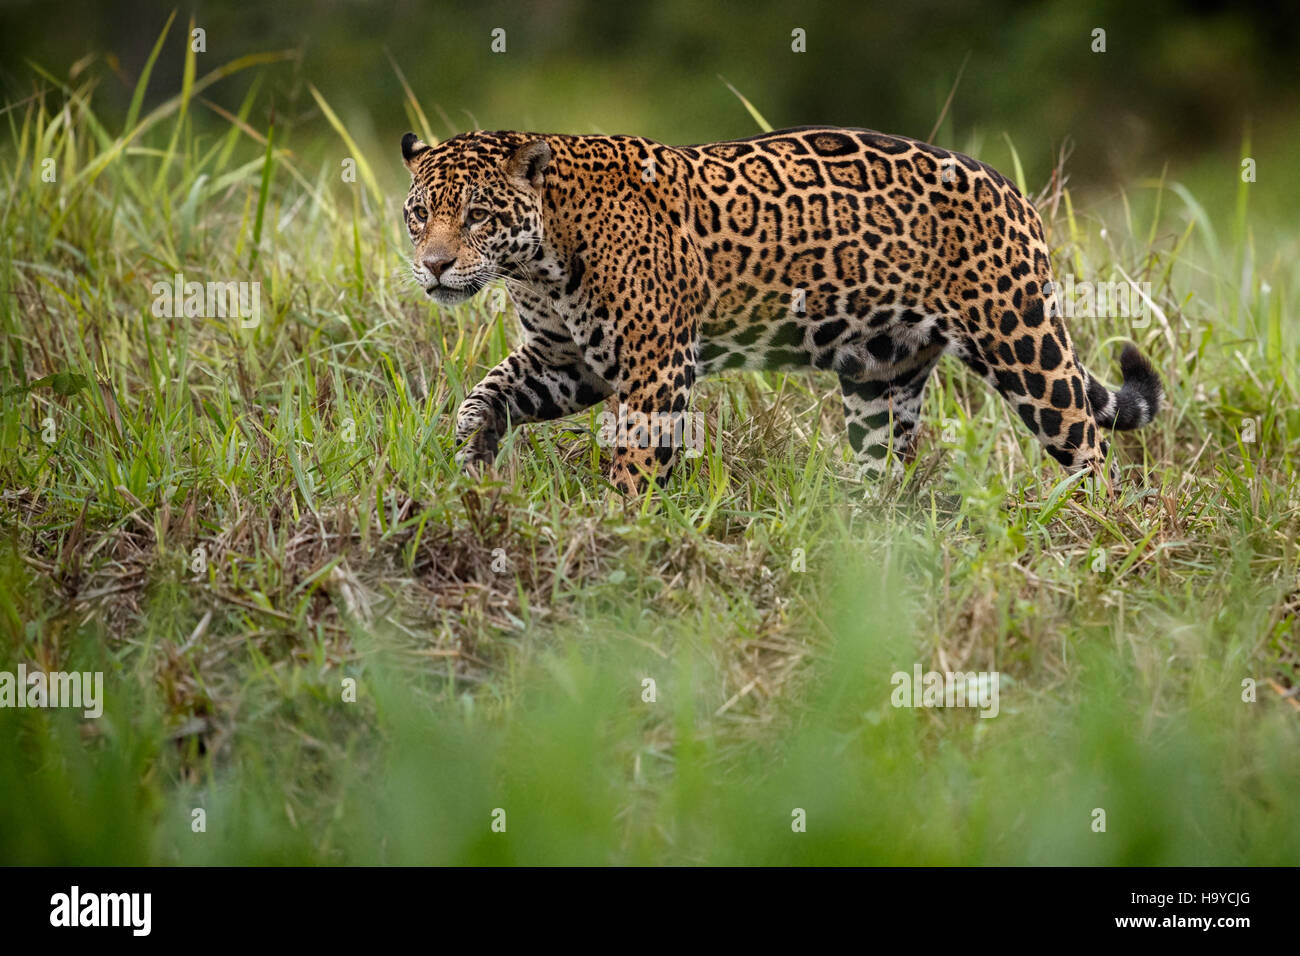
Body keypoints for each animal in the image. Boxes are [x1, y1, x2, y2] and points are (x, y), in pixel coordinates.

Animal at [399, 126, 1162, 495]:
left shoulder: (654, 366)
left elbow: (637, 463)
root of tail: (1016, 193)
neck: (540, 260)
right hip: (881, 375)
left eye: (477, 215)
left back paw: (1096, 534)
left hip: (1022, 344)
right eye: (418, 214)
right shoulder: (565, 360)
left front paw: (618, 530)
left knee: (1089, 450)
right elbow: (491, 388)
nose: (434, 265)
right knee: (885, 466)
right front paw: (472, 451)